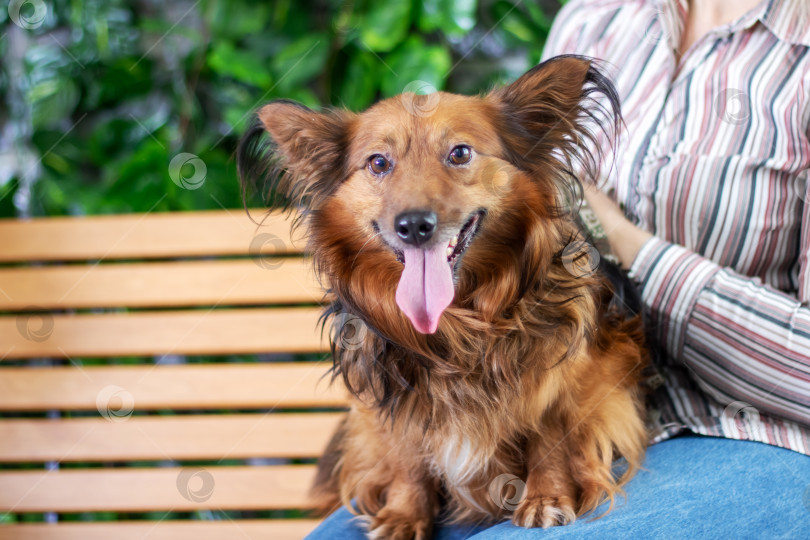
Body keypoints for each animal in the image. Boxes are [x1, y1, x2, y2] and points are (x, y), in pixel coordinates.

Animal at [237, 54, 648, 540]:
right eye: (379, 162)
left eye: (460, 154)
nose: (414, 226)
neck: (458, 326)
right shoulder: (385, 396)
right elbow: (406, 452)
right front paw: (404, 513)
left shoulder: (578, 371)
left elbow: (550, 433)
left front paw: (547, 496)